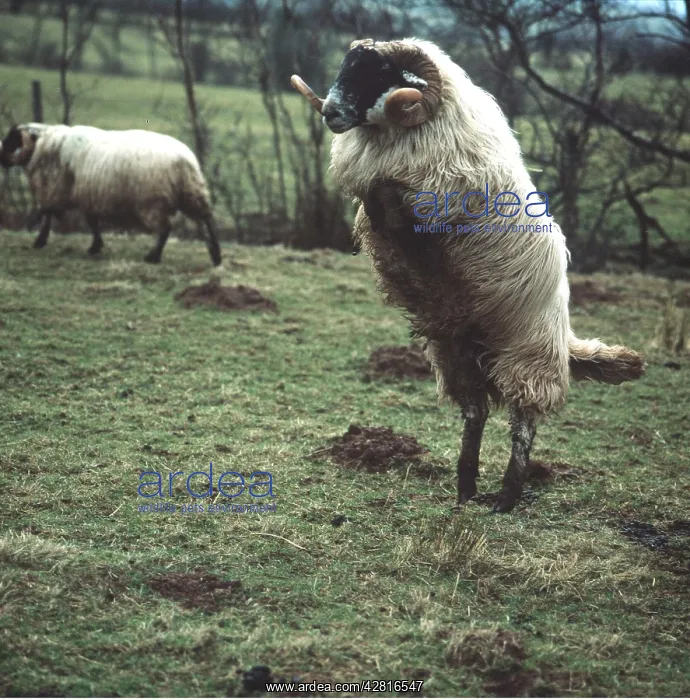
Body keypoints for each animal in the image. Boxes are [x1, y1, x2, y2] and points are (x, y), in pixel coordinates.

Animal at [0, 123, 221, 265]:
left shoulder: (54, 191)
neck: (43, 145)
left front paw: (39, 241)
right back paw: (216, 256)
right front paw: (95, 246)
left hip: (153, 202)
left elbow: (47, 217)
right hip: (192, 194)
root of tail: (186, 162)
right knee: (206, 221)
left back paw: (153, 257)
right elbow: (92, 222)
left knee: (165, 229)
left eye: (12, 140)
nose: (1, 159)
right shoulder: (87, 196)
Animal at [291, 38, 645, 513]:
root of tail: (565, 337)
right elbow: (375, 199)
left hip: (528, 353)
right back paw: (465, 489)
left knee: (524, 420)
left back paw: (507, 497)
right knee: (476, 412)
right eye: (349, 66)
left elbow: (387, 192)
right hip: (455, 350)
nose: (331, 112)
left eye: (379, 72)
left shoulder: (431, 205)